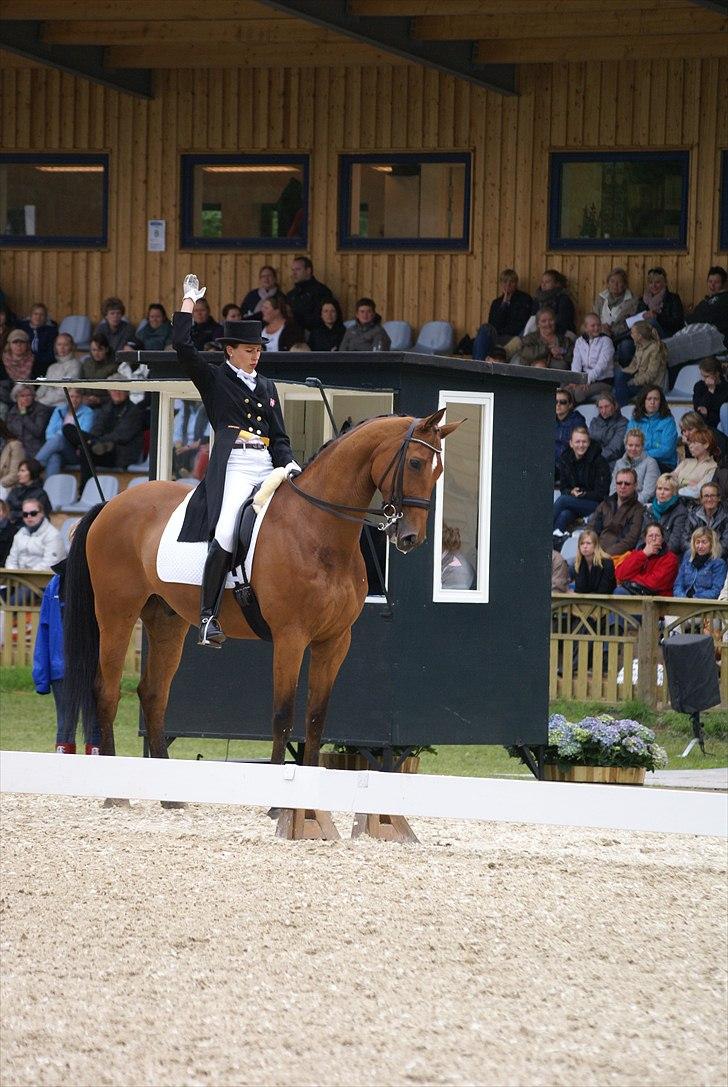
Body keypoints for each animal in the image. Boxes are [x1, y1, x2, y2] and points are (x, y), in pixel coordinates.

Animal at [62, 410, 462, 769]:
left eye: (438, 471)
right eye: (415, 463)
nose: (410, 537)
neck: (320, 531)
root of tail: (111, 504)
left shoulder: (334, 640)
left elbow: (316, 719)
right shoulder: (290, 636)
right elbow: (283, 717)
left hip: (166, 618)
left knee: (153, 694)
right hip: (116, 613)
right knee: (107, 692)